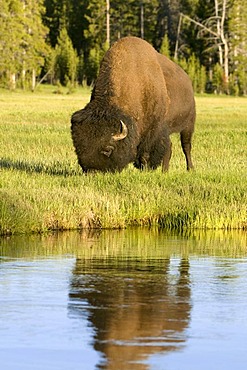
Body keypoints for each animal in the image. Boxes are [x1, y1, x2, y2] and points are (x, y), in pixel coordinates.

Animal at [70, 36, 196, 172]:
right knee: (170, 148)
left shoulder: (153, 131)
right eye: (78, 148)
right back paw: (165, 171)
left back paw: (190, 168)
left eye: (108, 149)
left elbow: (146, 153)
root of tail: (188, 81)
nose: (92, 172)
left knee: (186, 146)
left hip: (188, 125)